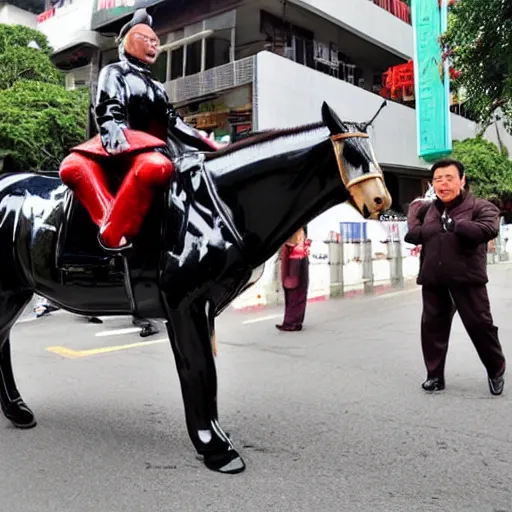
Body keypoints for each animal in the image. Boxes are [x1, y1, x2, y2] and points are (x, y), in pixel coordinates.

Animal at [0, 102, 390, 474]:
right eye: (351, 152)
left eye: (371, 150)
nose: (381, 202)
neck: (218, 205)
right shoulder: (184, 303)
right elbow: (199, 369)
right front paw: (214, 447)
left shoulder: (204, 306)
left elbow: (208, 370)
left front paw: (217, 434)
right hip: (8, 290)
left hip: (17, 291)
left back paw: (17, 411)